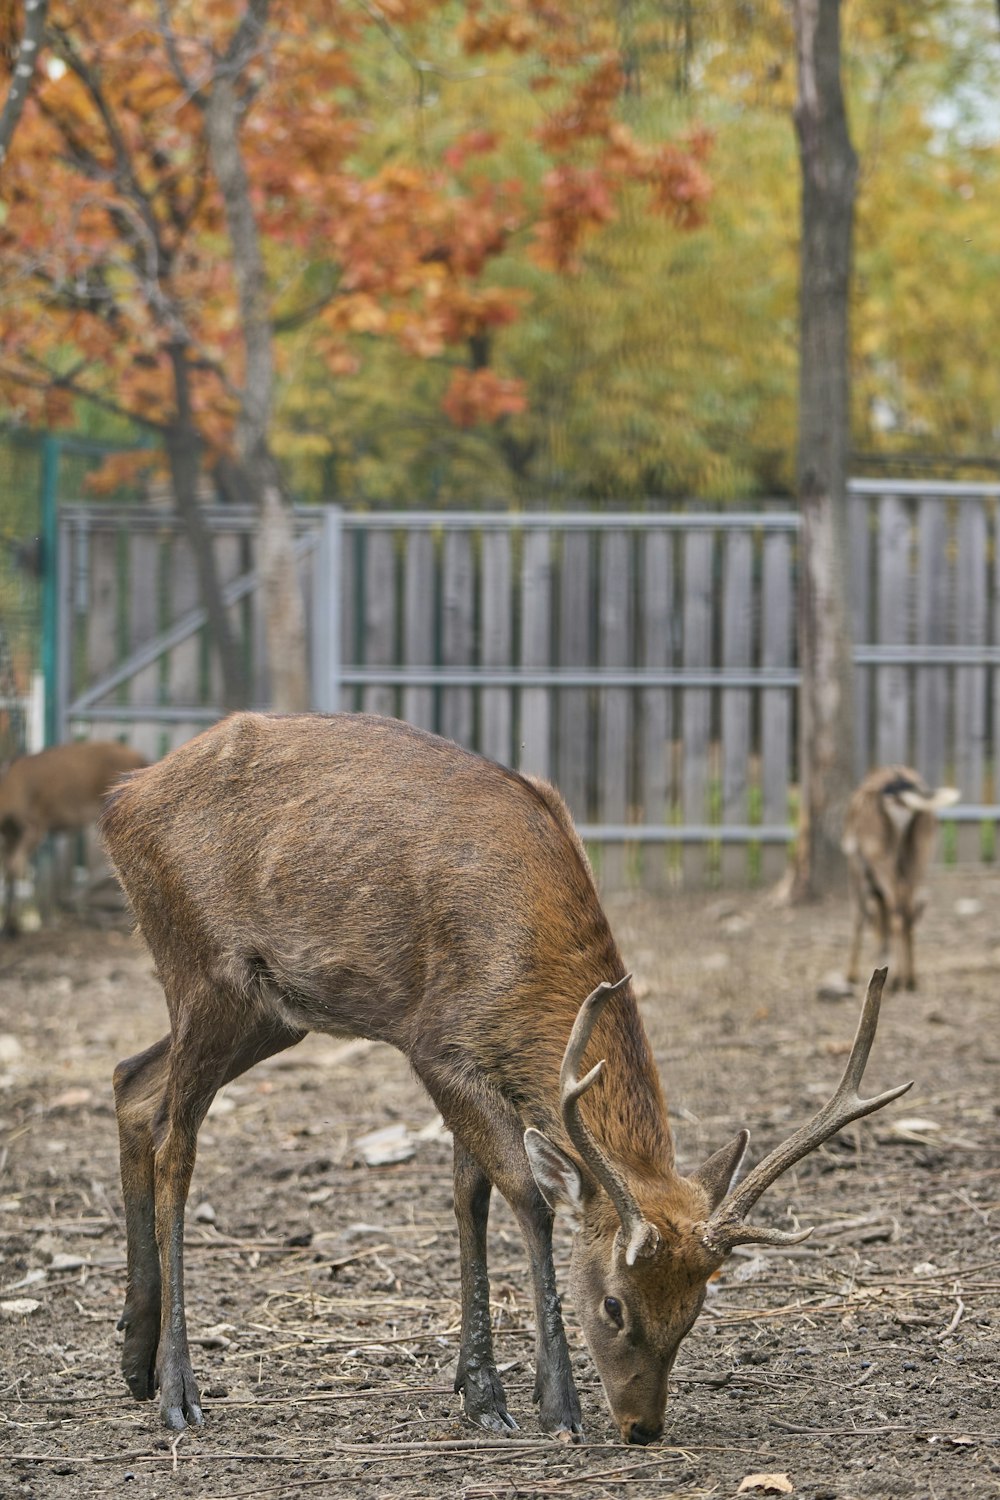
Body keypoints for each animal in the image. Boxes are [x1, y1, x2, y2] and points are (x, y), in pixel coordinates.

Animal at [0, 735, 148, 930]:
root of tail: (141, 757)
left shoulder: (34, 825)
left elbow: (15, 867)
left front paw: (13, 926)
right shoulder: (10, 833)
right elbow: (8, 868)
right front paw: (9, 924)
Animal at [103, 714, 917, 1440]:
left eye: (697, 1307)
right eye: (615, 1304)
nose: (643, 1426)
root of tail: (119, 802)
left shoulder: (474, 1066)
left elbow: (470, 1194)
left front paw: (478, 1388)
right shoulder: (433, 1043)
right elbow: (526, 1195)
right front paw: (554, 1405)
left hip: (273, 1011)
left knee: (132, 1082)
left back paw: (135, 1358)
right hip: (202, 967)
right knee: (178, 1144)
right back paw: (179, 1392)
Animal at [845, 762, 959, 996]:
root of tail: (899, 786)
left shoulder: (855, 863)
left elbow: (858, 913)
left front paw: (850, 975)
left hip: (878, 851)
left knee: (897, 907)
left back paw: (898, 980)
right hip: (922, 850)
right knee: (908, 907)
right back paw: (910, 979)